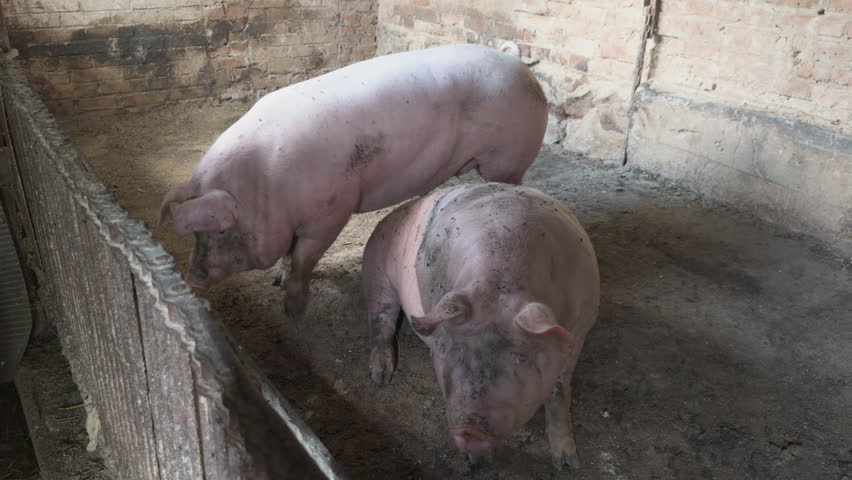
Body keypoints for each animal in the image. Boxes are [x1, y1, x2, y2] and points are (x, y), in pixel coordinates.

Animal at [159, 43, 548, 319]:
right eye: (196, 233)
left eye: (223, 231)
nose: (191, 278)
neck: (266, 187)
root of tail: (516, 63)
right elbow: (289, 254)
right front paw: (277, 281)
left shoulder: (331, 213)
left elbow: (303, 260)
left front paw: (293, 311)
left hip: (507, 158)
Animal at [362, 182, 600, 469]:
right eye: (447, 351)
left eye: (520, 358)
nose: (470, 431)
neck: (498, 286)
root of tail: (389, 216)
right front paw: (473, 460)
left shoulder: (580, 329)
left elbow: (559, 391)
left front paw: (568, 464)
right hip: (376, 274)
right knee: (380, 322)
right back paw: (381, 377)